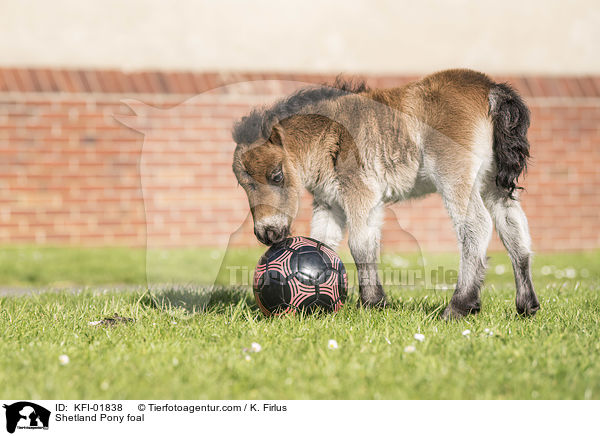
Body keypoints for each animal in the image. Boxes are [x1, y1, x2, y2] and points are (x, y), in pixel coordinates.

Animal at [231, 70, 540, 318]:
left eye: (277, 175)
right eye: (242, 184)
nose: (267, 234)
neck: (330, 133)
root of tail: (491, 89)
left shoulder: (361, 191)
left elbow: (360, 243)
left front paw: (372, 303)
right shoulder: (329, 202)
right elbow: (323, 243)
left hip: (454, 174)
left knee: (476, 225)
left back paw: (459, 306)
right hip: (493, 183)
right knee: (514, 231)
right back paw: (526, 306)